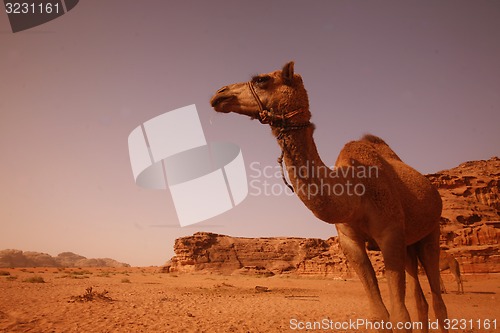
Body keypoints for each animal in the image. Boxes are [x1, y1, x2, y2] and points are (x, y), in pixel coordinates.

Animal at [211, 62, 450, 332]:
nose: (219, 94)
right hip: (410, 243)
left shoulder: (390, 234)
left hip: (431, 232)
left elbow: (400, 315)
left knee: (437, 298)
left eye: (261, 79)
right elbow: (379, 314)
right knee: (421, 298)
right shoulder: (349, 239)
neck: (354, 190)